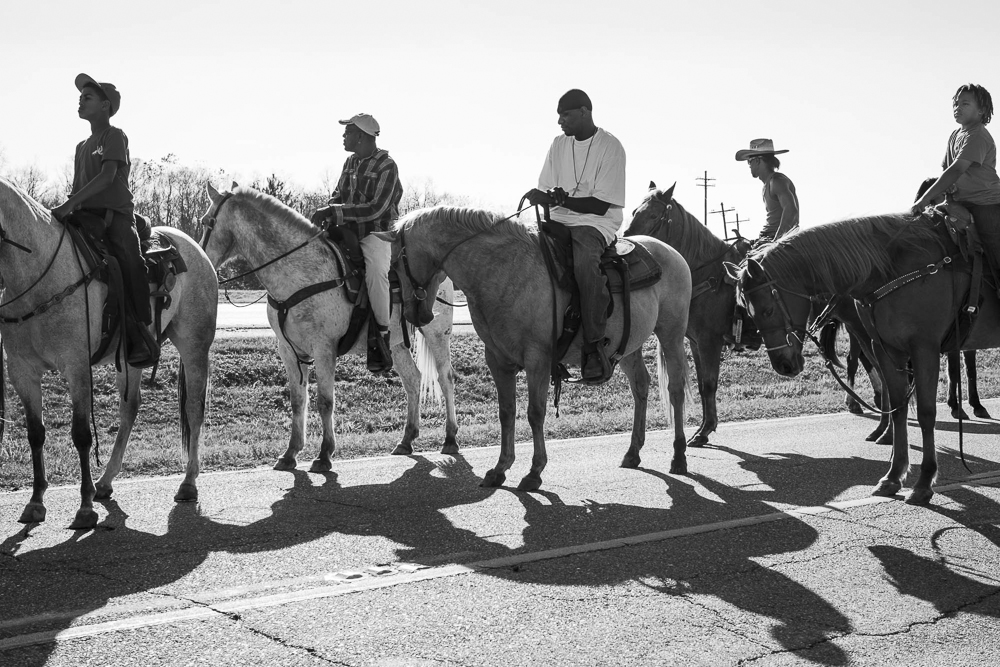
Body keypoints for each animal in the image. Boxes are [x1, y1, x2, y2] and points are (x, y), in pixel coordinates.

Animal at [0, 179, 218, 532]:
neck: (38, 274)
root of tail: (193, 246)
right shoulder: (22, 371)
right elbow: (36, 434)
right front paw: (35, 502)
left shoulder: (76, 366)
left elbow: (81, 434)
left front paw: (85, 508)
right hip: (130, 359)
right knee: (130, 408)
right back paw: (105, 481)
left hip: (194, 344)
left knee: (194, 409)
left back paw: (188, 483)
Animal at [201, 185, 458, 472]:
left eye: (206, 221)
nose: (202, 260)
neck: (300, 273)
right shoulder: (288, 350)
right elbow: (298, 400)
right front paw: (290, 453)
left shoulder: (324, 348)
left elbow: (325, 401)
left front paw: (324, 454)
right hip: (396, 344)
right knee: (412, 379)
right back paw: (407, 439)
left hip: (436, 333)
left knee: (445, 378)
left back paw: (450, 438)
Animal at [376, 204, 696, 490]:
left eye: (395, 265)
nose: (415, 316)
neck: (505, 271)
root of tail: (672, 253)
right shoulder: (497, 359)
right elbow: (507, 411)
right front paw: (500, 468)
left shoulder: (538, 359)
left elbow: (535, 412)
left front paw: (534, 471)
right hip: (628, 346)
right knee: (640, 385)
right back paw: (633, 453)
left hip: (671, 334)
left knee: (676, 388)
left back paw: (679, 455)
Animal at [728, 214, 1000, 506]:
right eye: (748, 312)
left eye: (767, 310)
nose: (784, 365)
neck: (891, 271)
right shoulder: (883, 348)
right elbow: (897, 406)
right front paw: (893, 474)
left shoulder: (924, 349)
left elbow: (926, 412)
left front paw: (924, 481)